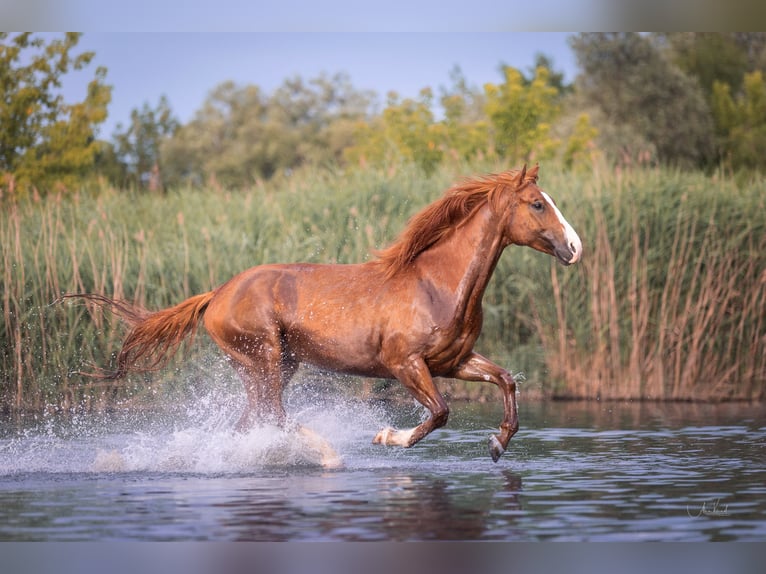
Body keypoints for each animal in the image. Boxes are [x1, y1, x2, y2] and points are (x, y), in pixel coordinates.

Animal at [62, 164, 581, 462]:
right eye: (538, 204)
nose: (574, 248)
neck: (436, 284)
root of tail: (216, 294)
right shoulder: (405, 364)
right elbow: (439, 413)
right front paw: (385, 437)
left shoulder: (452, 362)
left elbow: (507, 382)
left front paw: (497, 445)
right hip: (264, 358)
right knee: (273, 416)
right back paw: (325, 452)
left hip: (275, 364)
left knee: (252, 421)